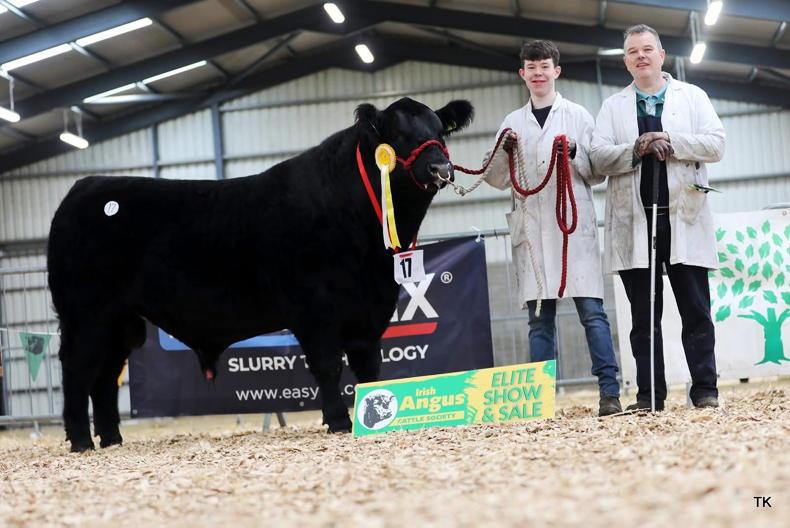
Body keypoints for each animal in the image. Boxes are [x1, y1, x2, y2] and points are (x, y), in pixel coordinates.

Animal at [47, 97, 474, 452]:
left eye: (439, 130)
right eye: (399, 134)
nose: (440, 167)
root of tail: (84, 188)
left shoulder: (368, 311)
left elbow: (368, 368)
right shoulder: (315, 309)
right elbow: (328, 365)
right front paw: (338, 421)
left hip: (120, 322)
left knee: (104, 377)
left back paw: (112, 439)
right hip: (85, 316)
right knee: (77, 371)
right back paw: (81, 441)